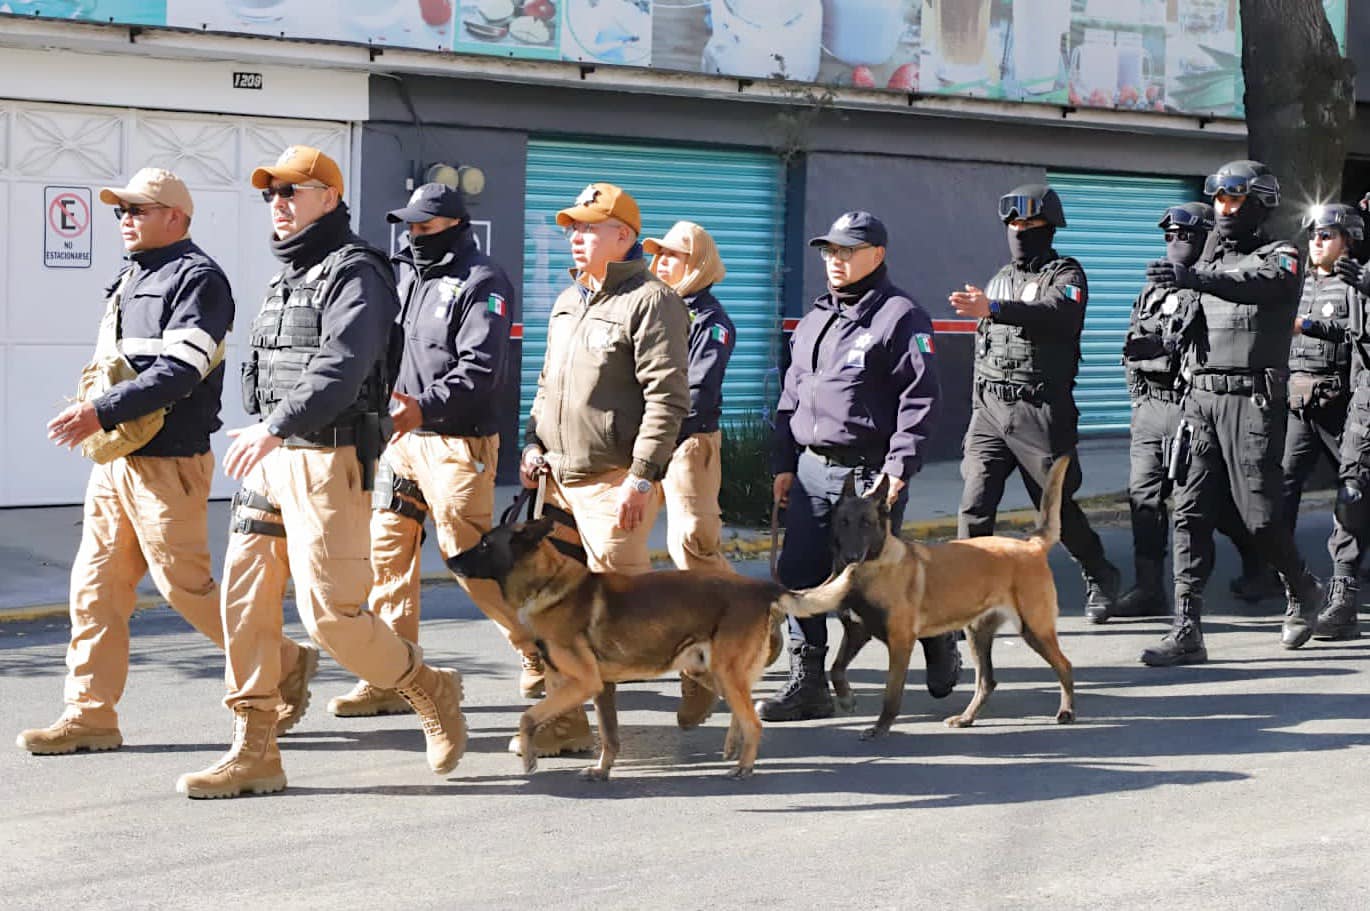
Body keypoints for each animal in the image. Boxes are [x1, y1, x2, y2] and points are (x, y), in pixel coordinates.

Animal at [449, 515, 827, 778]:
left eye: (484, 544)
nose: (451, 561)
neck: (546, 584)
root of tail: (760, 588)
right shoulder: (597, 687)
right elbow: (608, 735)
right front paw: (601, 769)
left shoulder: (583, 682)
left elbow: (527, 716)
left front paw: (529, 758)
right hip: (710, 672)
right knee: (742, 712)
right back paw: (733, 747)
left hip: (722, 671)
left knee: (753, 722)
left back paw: (744, 766)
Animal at [783, 457, 1079, 734]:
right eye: (843, 523)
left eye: (866, 523)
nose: (851, 557)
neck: (871, 570)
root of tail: (1032, 545)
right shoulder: (857, 632)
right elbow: (836, 668)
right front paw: (846, 699)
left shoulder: (900, 643)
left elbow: (891, 693)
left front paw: (880, 728)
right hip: (978, 633)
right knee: (987, 681)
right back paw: (966, 718)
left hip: (1033, 628)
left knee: (1064, 665)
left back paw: (1066, 711)